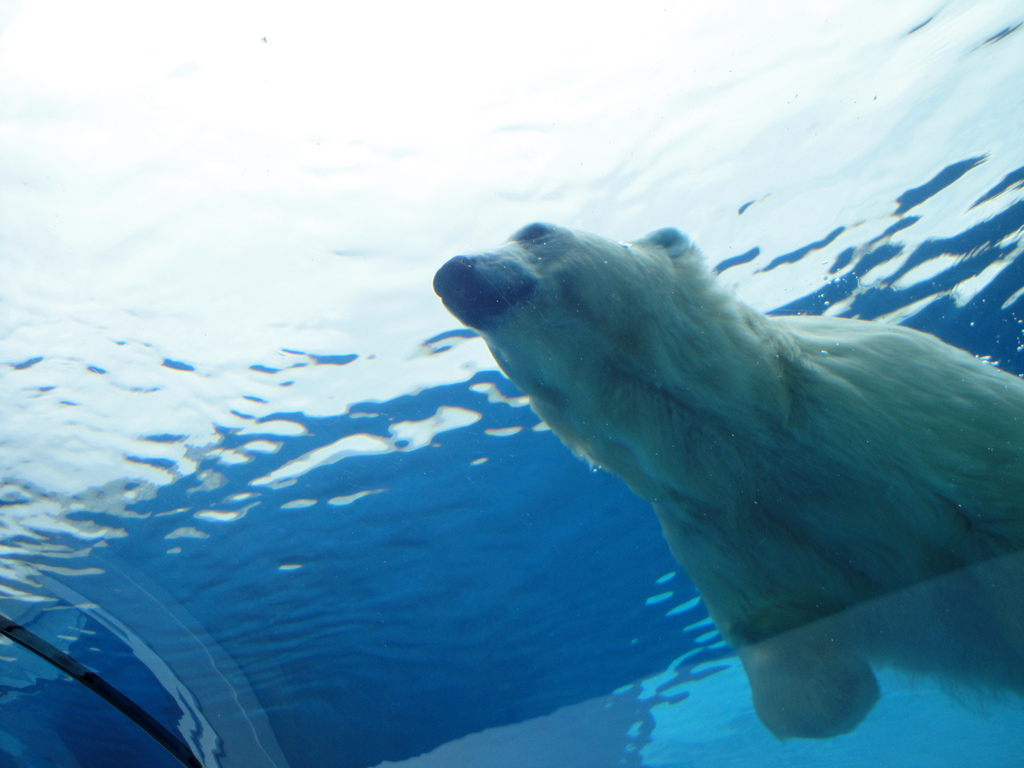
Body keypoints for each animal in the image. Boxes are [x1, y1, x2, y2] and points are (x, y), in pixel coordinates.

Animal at [433, 222, 1024, 739]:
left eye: (535, 231)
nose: (453, 274)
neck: (751, 437)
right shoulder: (728, 538)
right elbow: (792, 666)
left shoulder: (919, 402)